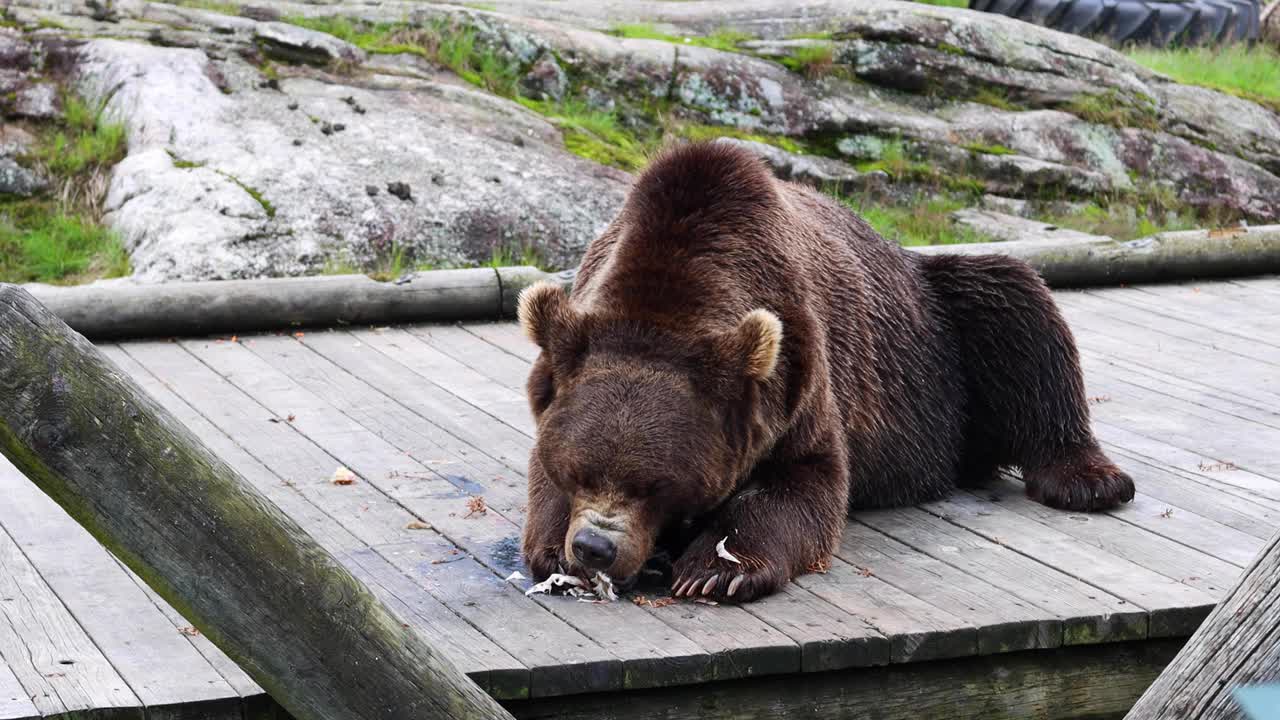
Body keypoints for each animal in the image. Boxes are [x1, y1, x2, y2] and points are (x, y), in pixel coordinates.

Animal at [514, 139, 1136, 599]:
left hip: (939, 337)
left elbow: (805, 483)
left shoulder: (798, 373)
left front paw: (716, 568)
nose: (595, 547)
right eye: (578, 471)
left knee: (1014, 300)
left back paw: (1088, 480)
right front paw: (555, 548)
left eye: (655, 486)